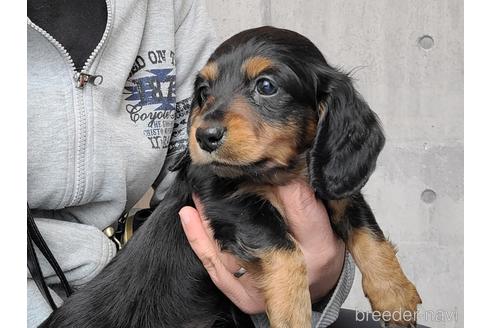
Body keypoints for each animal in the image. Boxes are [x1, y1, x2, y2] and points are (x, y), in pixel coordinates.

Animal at [40, 26, 420, 328]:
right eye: (204, 92)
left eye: (266, 86)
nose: (204, 136)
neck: (279, 172)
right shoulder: (224, 201)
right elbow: (286, 250)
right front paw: (293, 315)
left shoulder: (331, 185)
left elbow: (367, 229)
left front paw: (396, 296)